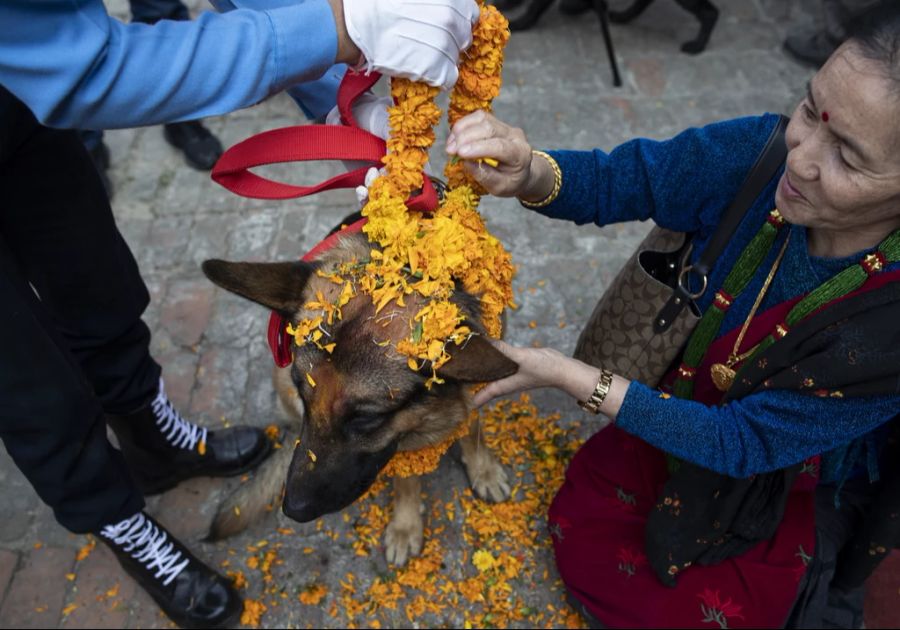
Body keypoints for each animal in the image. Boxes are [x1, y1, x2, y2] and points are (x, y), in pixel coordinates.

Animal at [200, 215, 516, 564]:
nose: (292, 510)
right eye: (303, 394)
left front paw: (484, 470)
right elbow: (406, 477)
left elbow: (473, 429)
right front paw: (406, 525)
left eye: (364, 419)